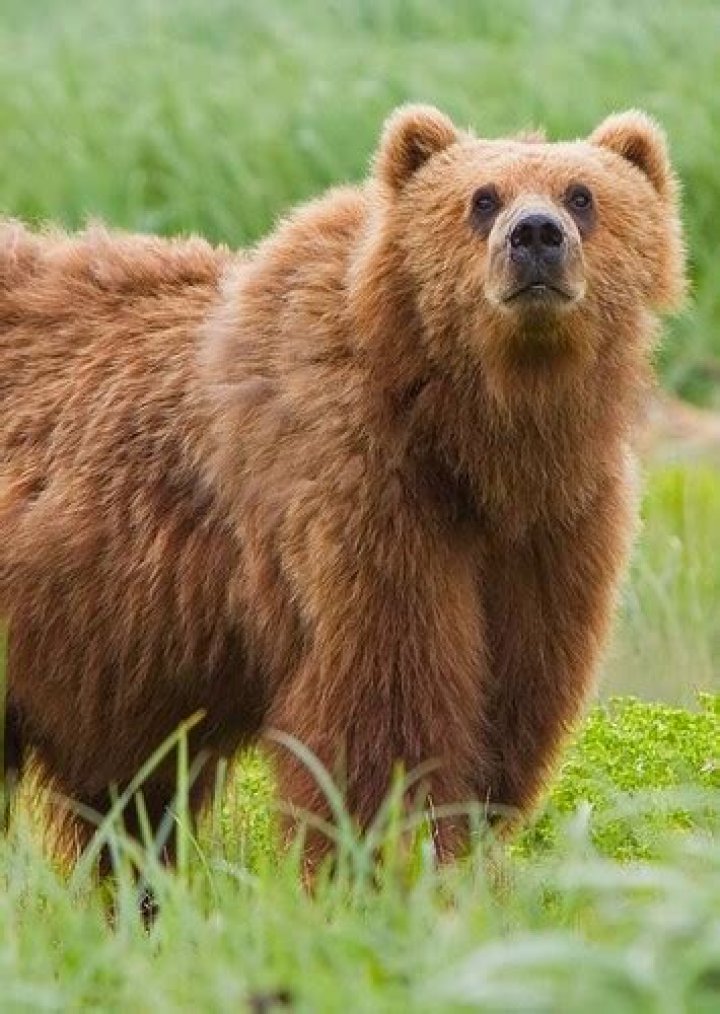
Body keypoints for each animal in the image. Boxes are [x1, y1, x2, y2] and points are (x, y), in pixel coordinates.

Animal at [0, 104, 685, 867]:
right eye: (482, 199)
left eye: (581, 194)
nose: (536, 236)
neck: (475, 439)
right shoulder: (357, 493)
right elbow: (386, 710)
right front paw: (395, 859)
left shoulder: (553, 532)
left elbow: (510, 703)